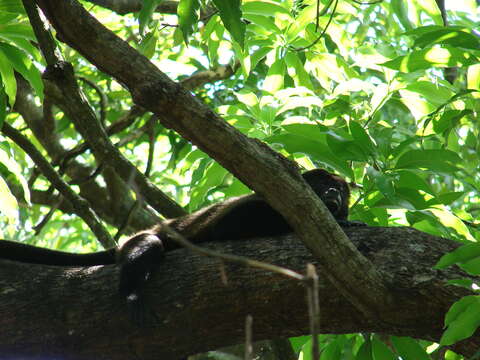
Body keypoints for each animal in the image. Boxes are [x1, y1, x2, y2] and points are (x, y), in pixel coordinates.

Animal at [0, 170, 356, 322]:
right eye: (321, 184)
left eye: (341, 190)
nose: (333, 195)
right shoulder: (261, 203)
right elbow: (234, 225)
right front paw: (345, 225)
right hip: (138, 240)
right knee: (150, 244)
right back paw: (131, 293)